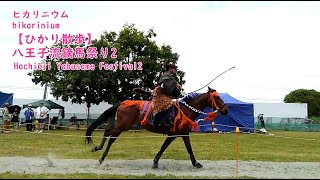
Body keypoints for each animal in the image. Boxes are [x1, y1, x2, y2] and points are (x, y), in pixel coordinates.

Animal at [85, 86, 229, 168]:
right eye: (217, 98)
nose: (226, 110)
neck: (185, 110)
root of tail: (123, 103)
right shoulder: (173, 134)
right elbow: (164, 147)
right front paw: (155, 161)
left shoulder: (184, 134)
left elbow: (189, 149)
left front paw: (195, 163)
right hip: (122, 126)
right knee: (110, 136)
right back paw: (101, 157)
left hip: (122, 126)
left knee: (107, 131)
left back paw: (97, 149)